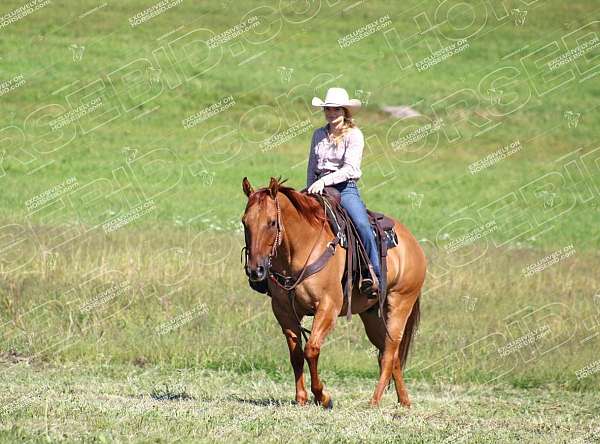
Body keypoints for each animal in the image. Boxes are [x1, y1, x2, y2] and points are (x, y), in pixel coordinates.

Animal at [240, 175, 426, 408]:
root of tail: (413, 243)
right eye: (244, 222)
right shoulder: (284, 311)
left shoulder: (328, 307)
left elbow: (311, 349)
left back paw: (374, 401)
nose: (255, 270)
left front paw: (323, 396)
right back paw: (404, 402)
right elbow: (296, 355)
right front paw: (301, 398)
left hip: (400, 304)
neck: (300, 249)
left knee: (389, 352)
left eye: (272, 222)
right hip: (373, 316)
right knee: (390, 356)